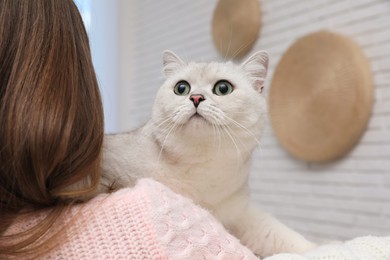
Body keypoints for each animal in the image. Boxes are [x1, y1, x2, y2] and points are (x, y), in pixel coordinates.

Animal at [99, 50, 316, 258]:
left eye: (223, 88)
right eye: (181, 88)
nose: (196, 98)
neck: (201, 165)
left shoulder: (242, 213)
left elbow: (278, 233)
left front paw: (317, 247)